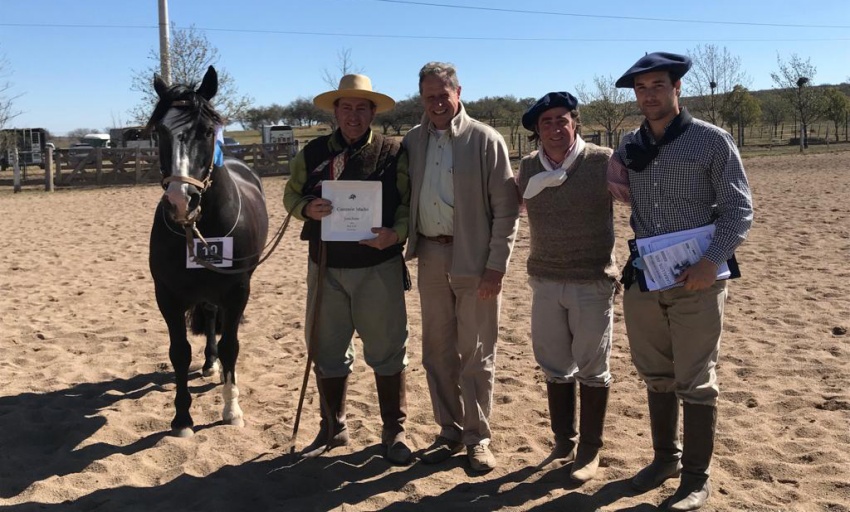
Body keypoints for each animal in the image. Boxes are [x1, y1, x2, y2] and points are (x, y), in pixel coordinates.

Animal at [146, 66, 264, 438]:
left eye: (207, 131)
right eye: (159, 131)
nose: (180, 200)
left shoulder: (237, 289)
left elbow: (231, 346)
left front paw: (232, 409)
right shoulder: (167, 294)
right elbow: (179, 352)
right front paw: (182, 418)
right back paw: (210, 364)